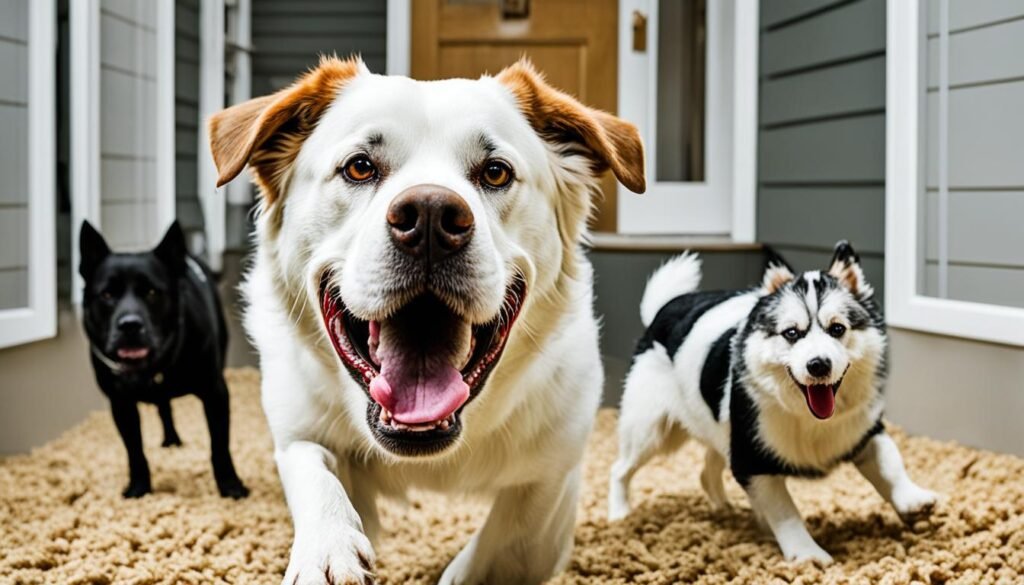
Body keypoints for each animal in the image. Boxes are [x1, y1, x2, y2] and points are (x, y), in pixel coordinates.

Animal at [78, 219, 248, 499]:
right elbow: (134, 451)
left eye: (151, 292)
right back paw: (170, 439)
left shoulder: (215, 393)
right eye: (107, 295)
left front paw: (230, 485)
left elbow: (220, 445)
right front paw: (139, 487)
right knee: (164, 407)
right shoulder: (121, 404)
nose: (130, 325)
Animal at [204, 56, 643, 585]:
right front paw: (328, 548)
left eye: (495, 172)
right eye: (359, 167)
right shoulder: (298, 435)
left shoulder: (551, 484)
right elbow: (315, 473)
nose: (431, 215)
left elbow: (497, 546)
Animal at [606, 241, 937, 561]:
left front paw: (912, 500)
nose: (819, 365)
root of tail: (666, 307)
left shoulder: (862, 432)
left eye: (837, 329)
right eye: (791, 333)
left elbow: (890, 461)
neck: (809, 416)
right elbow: (785, 511)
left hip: (719, 431)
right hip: (651, 431)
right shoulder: (752, 460)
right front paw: (807, 554)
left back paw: (725, 509)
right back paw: (620, 513)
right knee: (621, 469)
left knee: (708, 469)